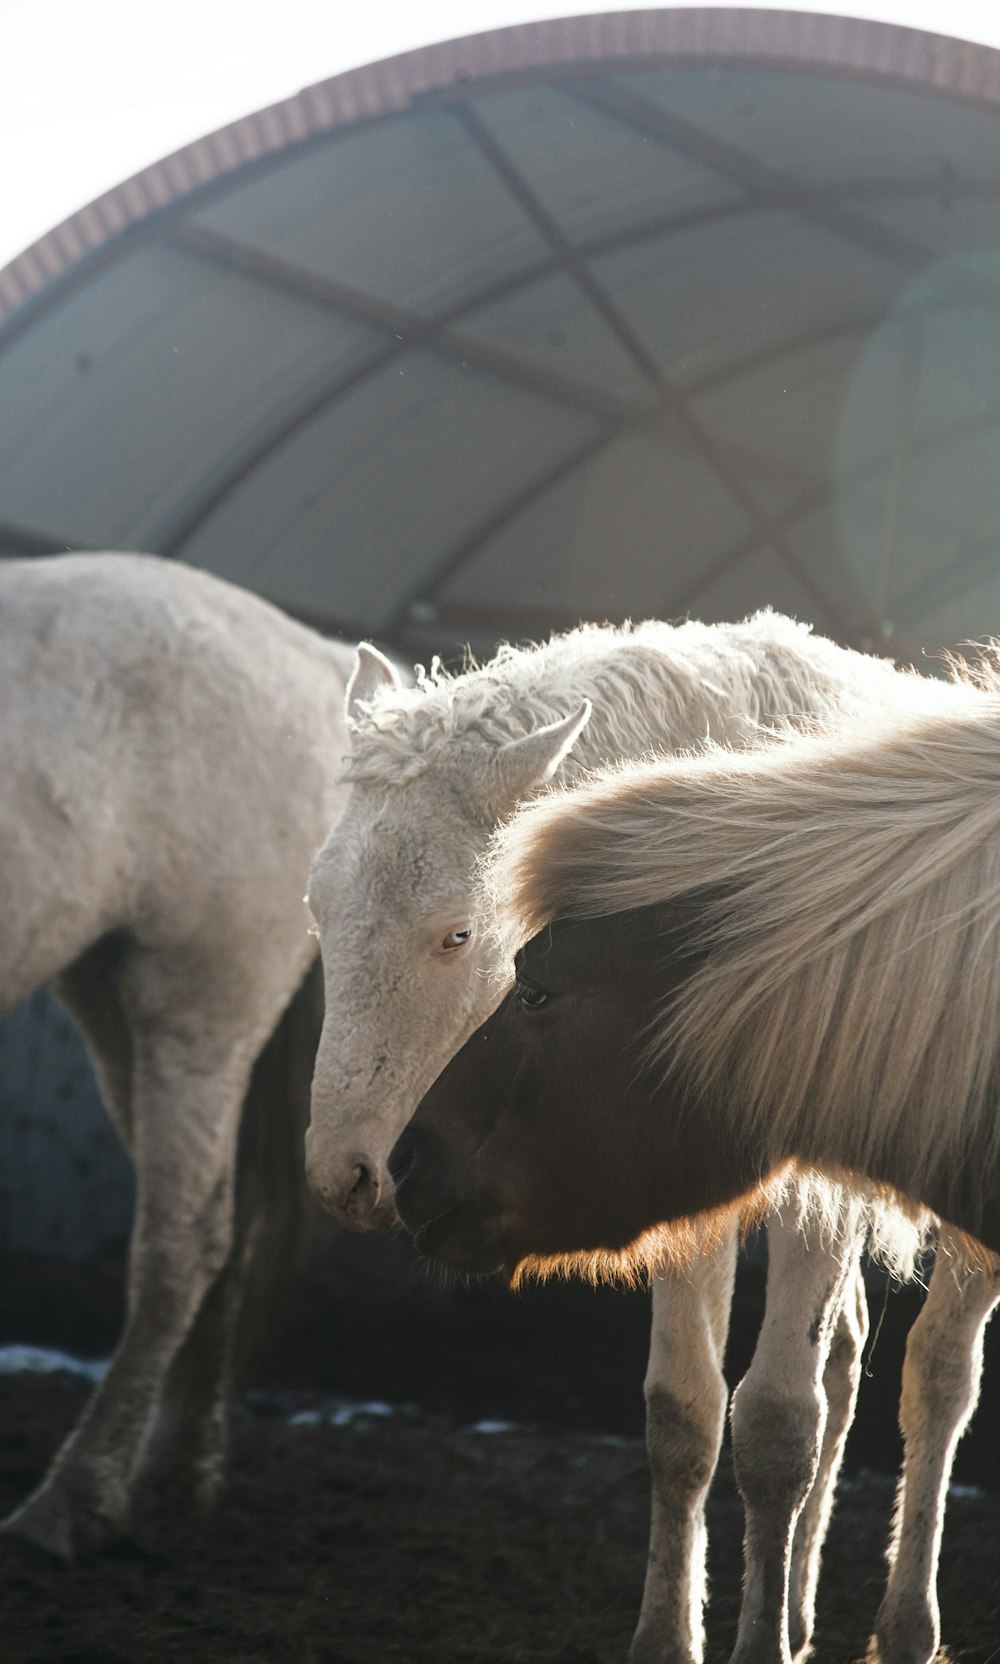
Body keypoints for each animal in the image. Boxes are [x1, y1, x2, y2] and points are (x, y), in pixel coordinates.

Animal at [0, 555, 352, 1557]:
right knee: (220, 1228)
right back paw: (175, 1473)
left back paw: (71, 1502)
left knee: (182, 1243)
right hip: (112, 1002)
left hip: (199, 1005)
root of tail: (313, 659)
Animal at [306, 622, 991, 1664]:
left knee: (938, 1378)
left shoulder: (816, 1195)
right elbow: (687, 1415)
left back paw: (906, 1623)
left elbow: (779, 1423)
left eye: (459, 936)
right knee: (846, 1365)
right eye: (315, 908)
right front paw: (676, 1634)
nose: (346, 1173)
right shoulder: (665, 1180)